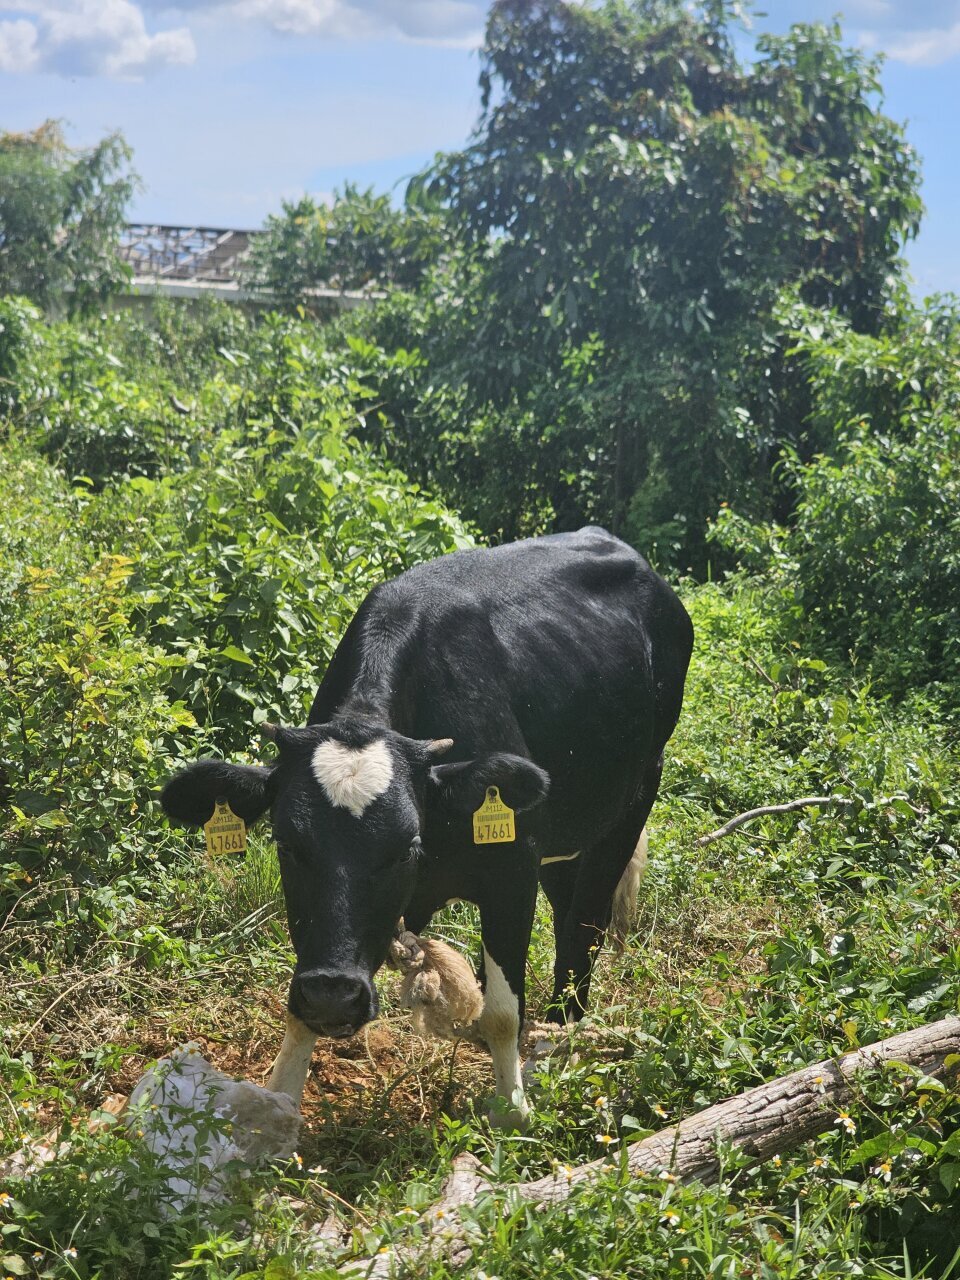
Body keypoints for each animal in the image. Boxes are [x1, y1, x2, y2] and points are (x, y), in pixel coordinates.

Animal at [160, 527, 693, 1121]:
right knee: (566, 912)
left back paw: (556, 1044)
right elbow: (298, 1017)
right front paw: (276, 1106)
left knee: (584, 927)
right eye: (287, 844)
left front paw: (512, 1110)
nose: (333, 994)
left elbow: (502, 1010)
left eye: (406, 848)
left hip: (635, 796)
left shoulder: (512, 869)